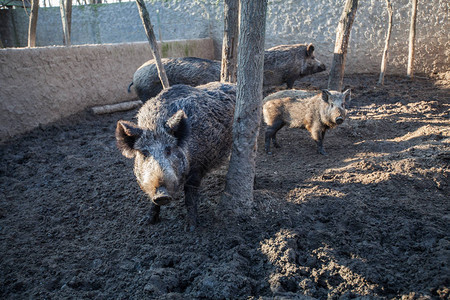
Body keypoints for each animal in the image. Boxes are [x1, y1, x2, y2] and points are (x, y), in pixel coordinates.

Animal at [115, 81, 236, 231]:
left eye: (169, 150)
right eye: (144, 153)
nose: (162, 195)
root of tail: (232, 84)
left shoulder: (197, 167)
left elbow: (190, 197)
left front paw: (191, 228)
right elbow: (153, 201)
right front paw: (146, 222)